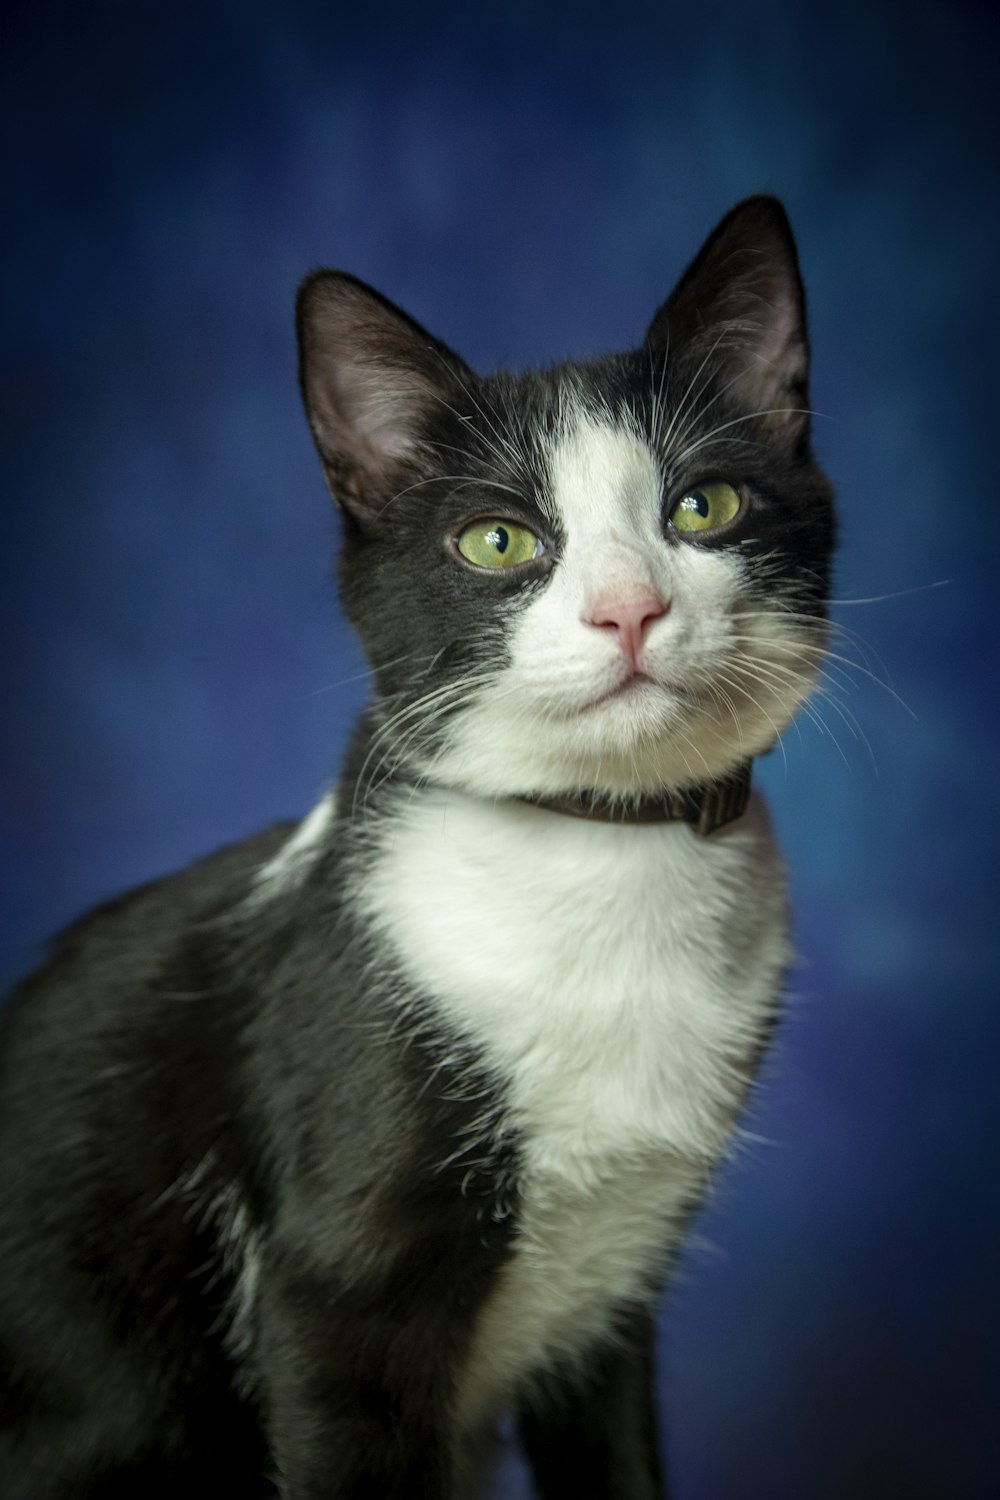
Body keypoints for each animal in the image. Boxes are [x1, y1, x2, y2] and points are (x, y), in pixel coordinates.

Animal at [0, 199, 839, 1500]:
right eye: (496, 541)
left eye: (703, 507)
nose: (628, 610)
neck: (597, 855)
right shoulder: (331, 1302)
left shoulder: (613, 1299)